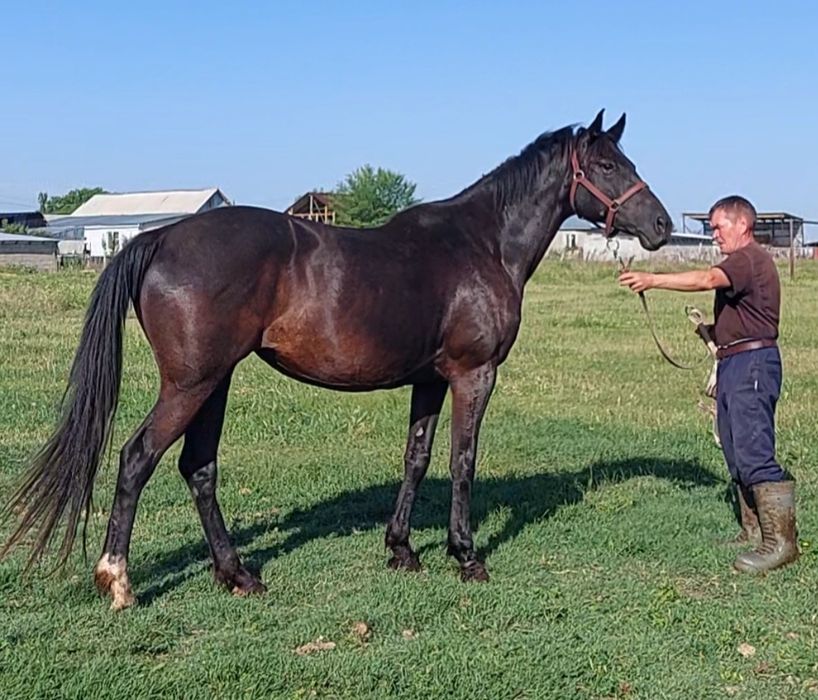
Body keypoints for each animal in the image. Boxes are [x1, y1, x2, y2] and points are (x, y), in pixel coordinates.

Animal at [1, 110, 672, 609]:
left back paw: (238, 574)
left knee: (198, 468)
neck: (481, 244)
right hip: (190, 384)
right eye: (608, 165)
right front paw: (466, 555)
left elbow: (416, 458)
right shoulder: (473, 374)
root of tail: (161, 236)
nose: (662, 226)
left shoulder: (429, 380)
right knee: (138, 458)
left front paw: (402, 550)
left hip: (215, 382)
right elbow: (462, 461)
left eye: (629, 163)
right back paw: (119, 580)